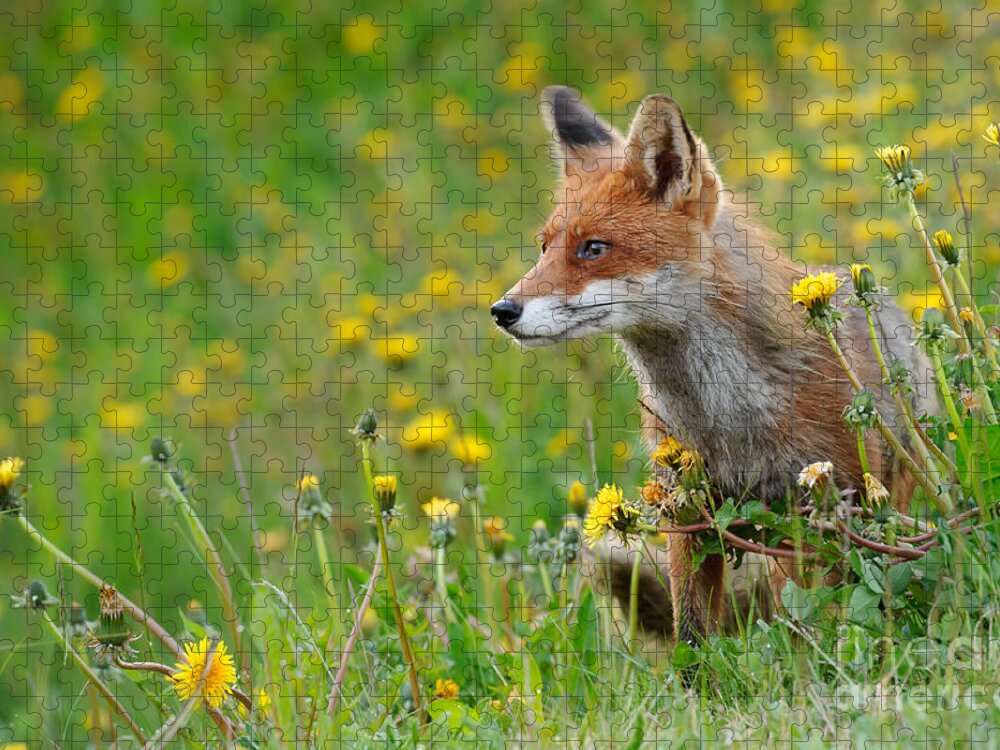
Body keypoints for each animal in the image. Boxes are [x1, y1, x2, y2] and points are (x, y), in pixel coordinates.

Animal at [492, 86, 928, 652]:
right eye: (544, 247)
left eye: (593, 249)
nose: (502, 311)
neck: (725, 418)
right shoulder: (690, 512)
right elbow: (693, 637)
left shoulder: (821, 509)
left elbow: (809, 622)